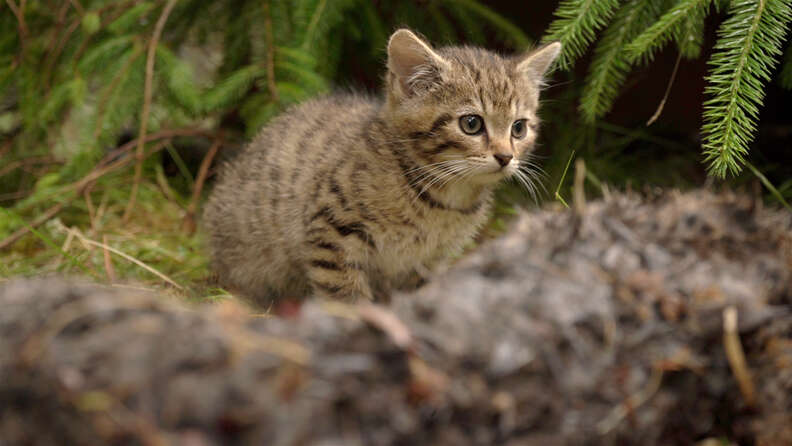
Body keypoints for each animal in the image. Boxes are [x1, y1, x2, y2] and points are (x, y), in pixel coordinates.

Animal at [204, 28, 564, 304]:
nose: (505, 157)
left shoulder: (428, 261)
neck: (441, 198)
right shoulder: (331, 229)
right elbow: (345, 294)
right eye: (472, 124)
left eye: (519, 128)